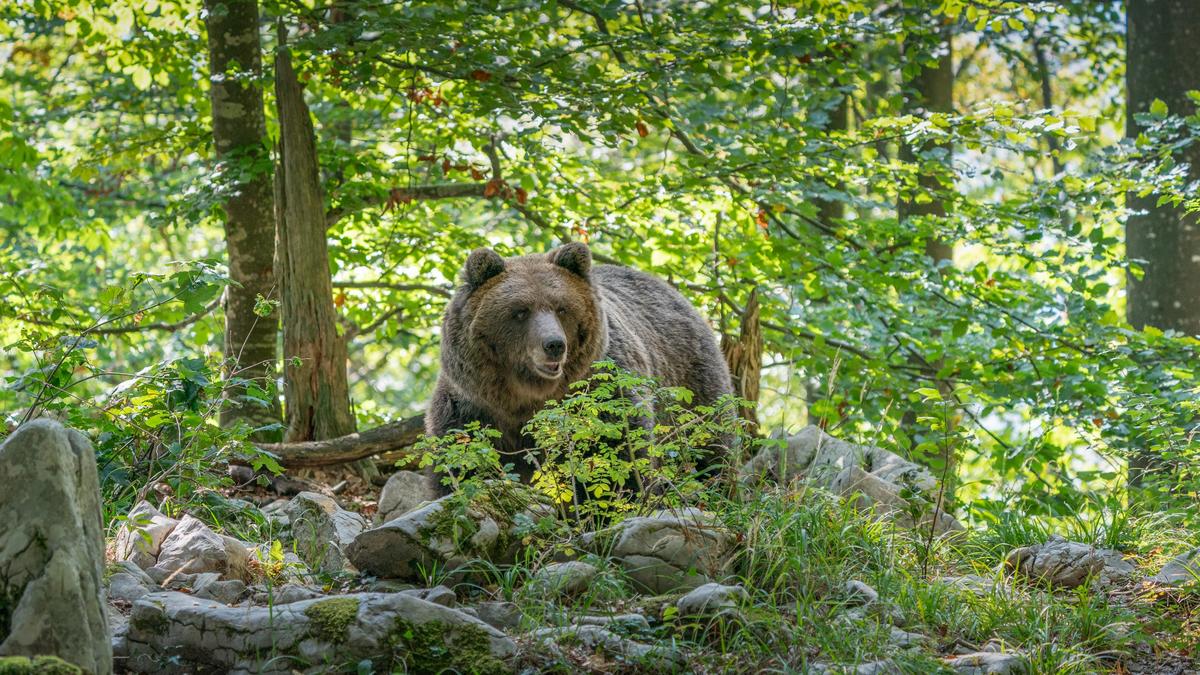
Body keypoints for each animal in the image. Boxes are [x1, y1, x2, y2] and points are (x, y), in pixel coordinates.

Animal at [427, 241, 734, 482]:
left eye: (561, 308)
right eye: (520, 311)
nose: (554, 344)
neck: (525, 398)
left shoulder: (599, 391)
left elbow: (615, 451)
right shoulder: (473, 406)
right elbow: (461, 461)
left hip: (690, 384)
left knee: (711, 447)